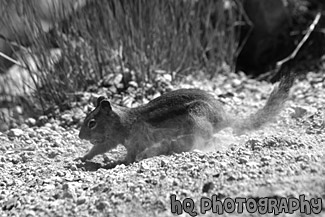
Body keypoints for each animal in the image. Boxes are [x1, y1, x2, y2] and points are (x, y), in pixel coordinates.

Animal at [77, 72, 292, 164]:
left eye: (92, 123)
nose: (80, 137)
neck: (123, 122)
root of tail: (223, 116)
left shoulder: (133, 142)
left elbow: (129, 155)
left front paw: (119, 162)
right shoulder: (112, 140)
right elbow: (99, 148)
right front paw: (84, 157)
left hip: (197, 118)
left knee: (209, 137)